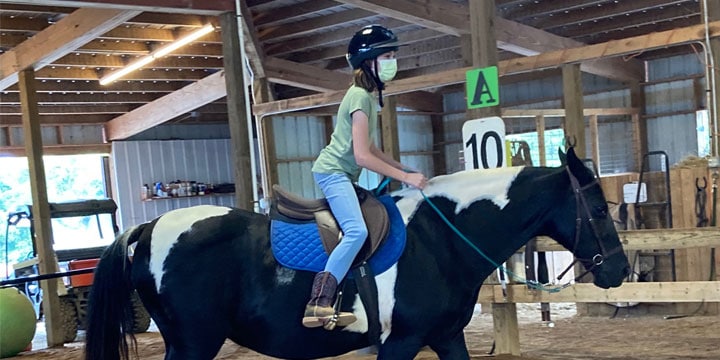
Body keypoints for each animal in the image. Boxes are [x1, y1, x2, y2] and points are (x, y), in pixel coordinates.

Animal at [86, 148, 632, 360]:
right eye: (597, 207)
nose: (621, 270)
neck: (442, 240)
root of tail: (149, 228)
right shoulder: (400, 342)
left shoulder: (446, 337)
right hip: (195, 343)